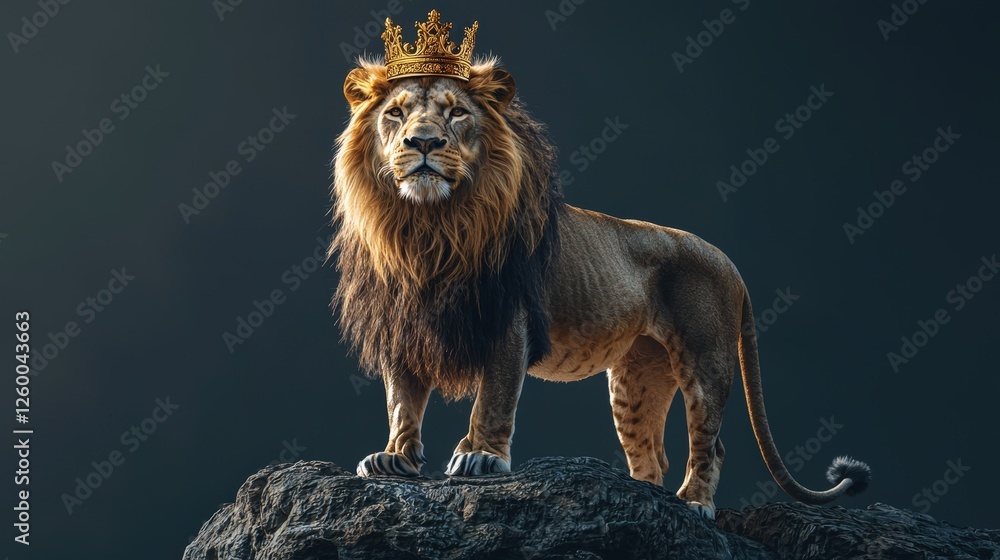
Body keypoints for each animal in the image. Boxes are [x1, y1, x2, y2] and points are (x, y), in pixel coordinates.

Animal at [328, 55, 870, 519]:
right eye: (396, 113)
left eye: (457, 112)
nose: (422, 143)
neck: (426, 227)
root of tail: (729, 262)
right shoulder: (401, 324)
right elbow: (402, 400)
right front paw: (394, 458)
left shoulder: (510, 320)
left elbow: (494, 396)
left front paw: (481, 457)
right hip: (636, 378)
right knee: (651, 455)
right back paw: (646, 502)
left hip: (705, 358)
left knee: (711, 443)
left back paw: (695, 505)